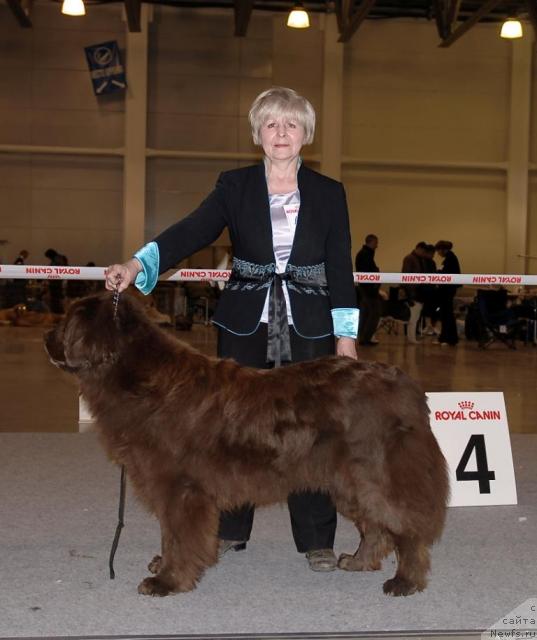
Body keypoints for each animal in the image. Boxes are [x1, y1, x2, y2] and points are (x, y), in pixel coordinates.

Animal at [45, 292, 448, 596]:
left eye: (68, 321)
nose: (47, 336)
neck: (138, 377)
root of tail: (406, 386)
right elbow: (173, 535)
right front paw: (166, 567)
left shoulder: (179, 486)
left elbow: (177, 535)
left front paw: (168, 580)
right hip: (347, 481)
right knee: (376, 526)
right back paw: (359, 561)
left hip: (373, 475)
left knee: (405, 525)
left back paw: (404, 581)